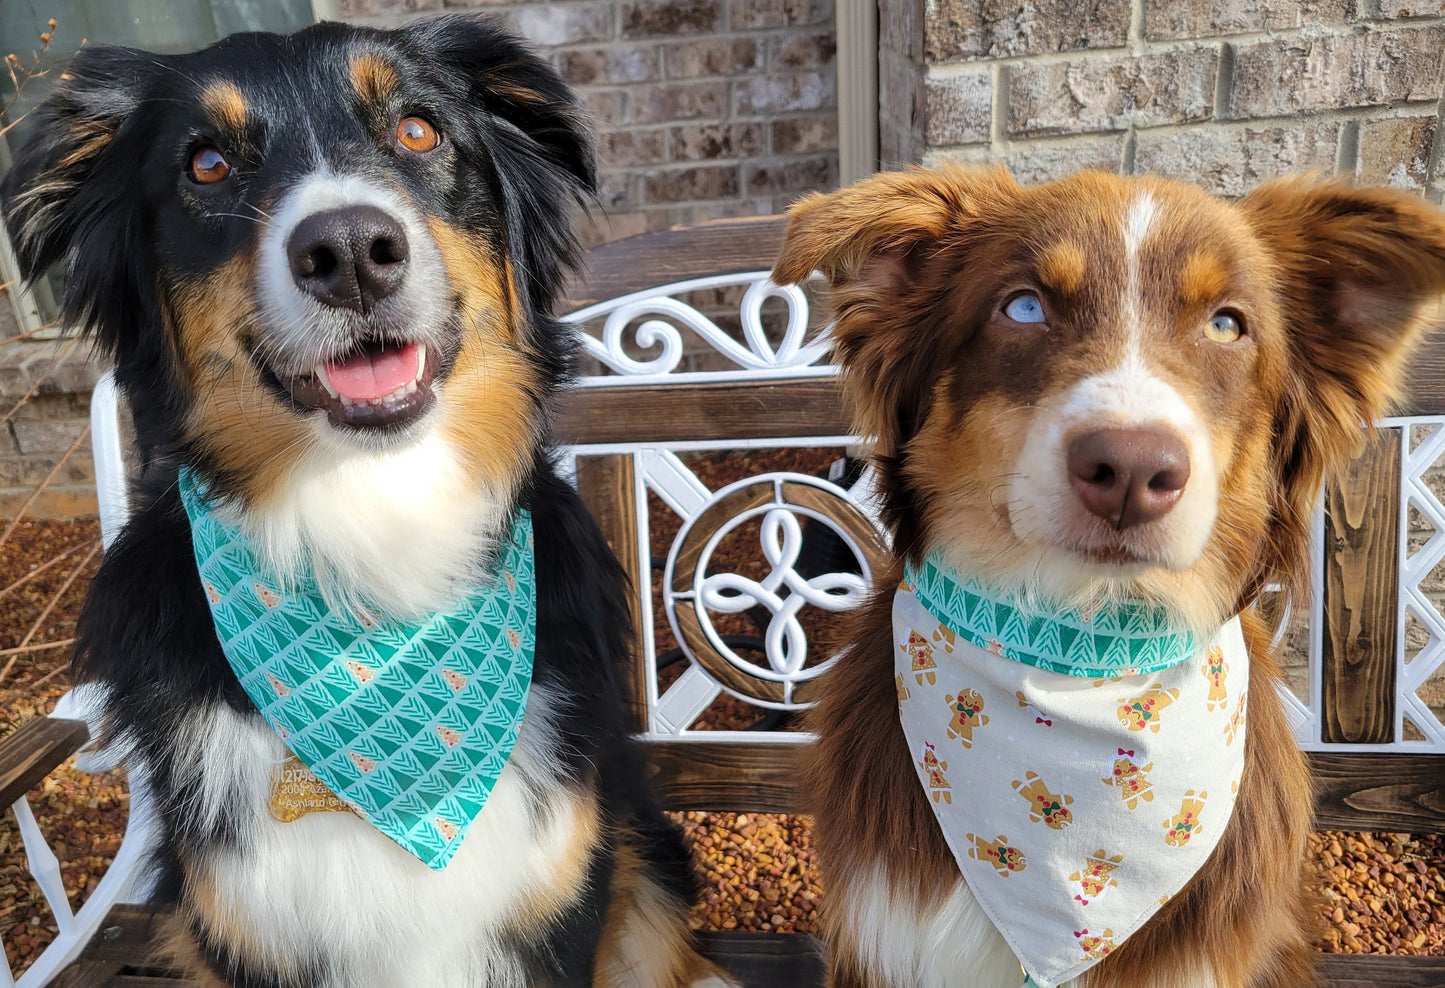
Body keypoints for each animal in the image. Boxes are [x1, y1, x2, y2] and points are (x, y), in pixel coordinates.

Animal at [0, 15, 734, 988]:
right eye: (206, 164)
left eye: (418, 131)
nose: (349, 251)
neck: (378, 528)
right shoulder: (246, 930)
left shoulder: (560, 901)